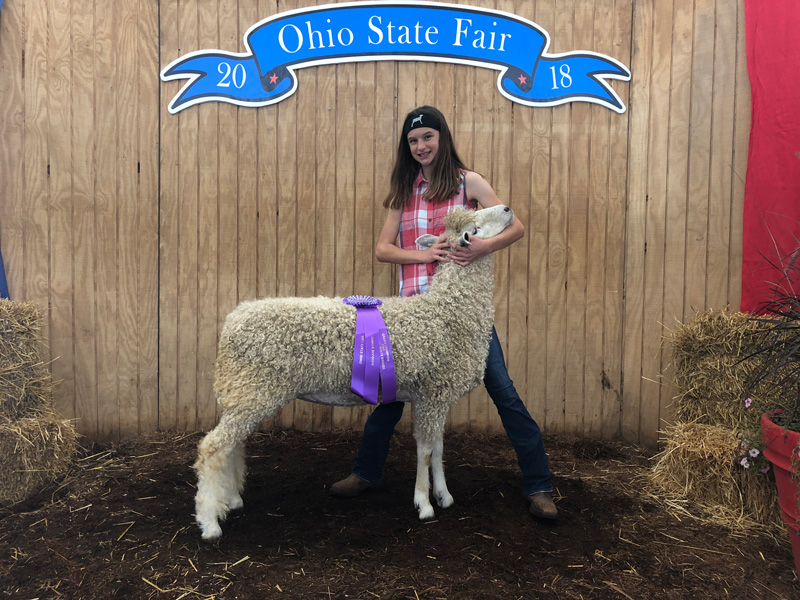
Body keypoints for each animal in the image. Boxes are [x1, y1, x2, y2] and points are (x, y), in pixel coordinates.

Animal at [197, 203, 516, 540]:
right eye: (474, 229)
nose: (507, 208)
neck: (448, 312)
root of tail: (232, 320)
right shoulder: (431, 393)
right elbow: (426, 451)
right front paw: (424, 504)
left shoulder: (435, 397)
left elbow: (439, 449)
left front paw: (443, 495)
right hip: (253, 390)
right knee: (213, 447)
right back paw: (209, 522)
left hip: (244, 394)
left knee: (232, 446)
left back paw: (231, 499)